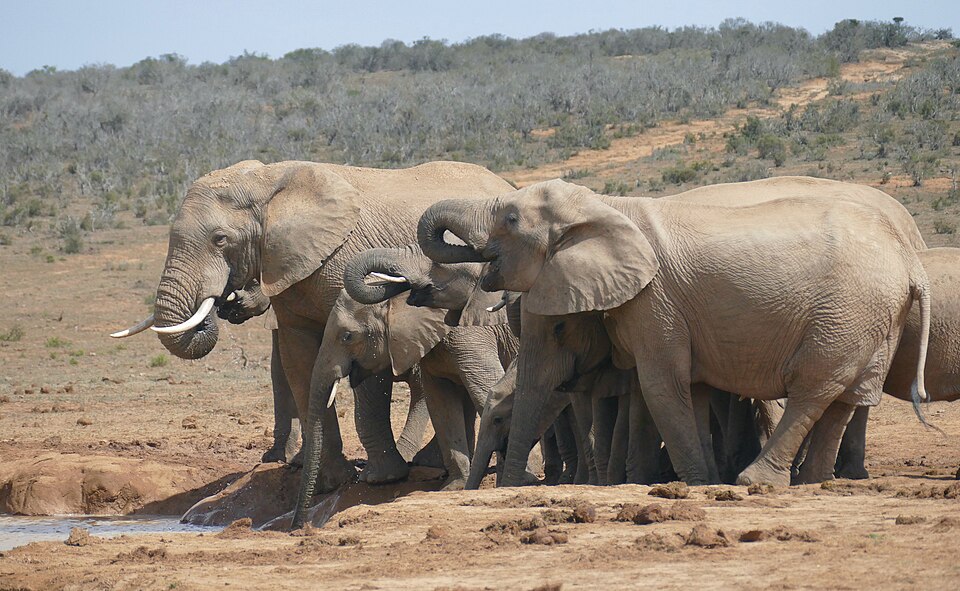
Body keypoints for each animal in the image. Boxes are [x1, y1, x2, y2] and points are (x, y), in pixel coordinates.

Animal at [110, 160, 514, 491]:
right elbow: (300, 362)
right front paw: (326, 482)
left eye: (220, 239)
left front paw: (378, 479)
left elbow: (366, 368)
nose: (226, 301)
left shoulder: (346, 258)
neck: (267, 183)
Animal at [419, 178, 930, 487]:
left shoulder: (655, 301)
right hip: (871, 316)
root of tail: (910, 263)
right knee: (848, 394)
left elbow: (661, 384)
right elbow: (691, 388)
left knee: (813, 387)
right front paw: (698, 479)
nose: (505, 488)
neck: (607, 206)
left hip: (847, 310)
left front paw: (696, 483)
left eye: (509, 219)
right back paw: (812, 483)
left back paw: (755, 482)